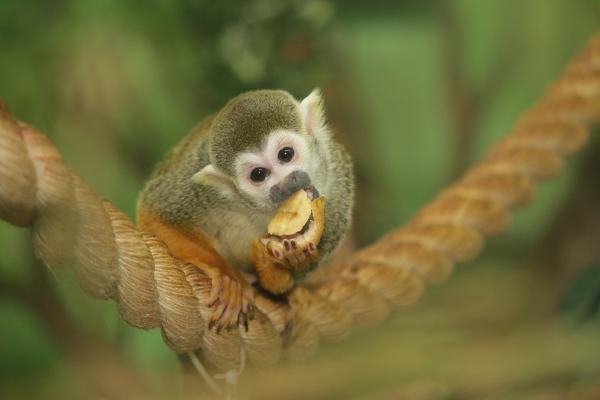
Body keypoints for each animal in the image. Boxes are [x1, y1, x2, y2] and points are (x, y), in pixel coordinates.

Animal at [137, 89, 352, 330]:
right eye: (258, 174)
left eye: (286, 154)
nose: (286, 184)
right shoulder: (202, 190)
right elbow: (154, 214)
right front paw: (229, 278)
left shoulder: (337, 183)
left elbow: (281, 284)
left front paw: (292, 259)